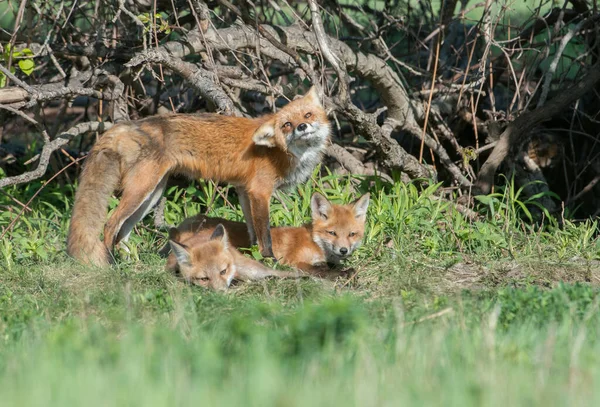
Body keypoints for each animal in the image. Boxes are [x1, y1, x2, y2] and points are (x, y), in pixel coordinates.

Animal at [68, 87, 330, 268]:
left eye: (308, 114)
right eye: (287, 124)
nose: (302, 127)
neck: (280, 152)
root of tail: (128, 125)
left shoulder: (244, 191)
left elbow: (252, 233)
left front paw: (251, 257)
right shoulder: (259, 191)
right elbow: (264, 234)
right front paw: (270, 260)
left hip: (151, 194)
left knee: (123, 231)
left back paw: (132, 263)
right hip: (141, 189)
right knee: (111, 224)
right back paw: (111, 264)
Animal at [165, 193, 370, 276]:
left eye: (352, 234)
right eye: (332, 233)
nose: (343, 250)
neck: (315, 242)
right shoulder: (294, 262)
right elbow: (322, 270)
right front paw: (342, 274)